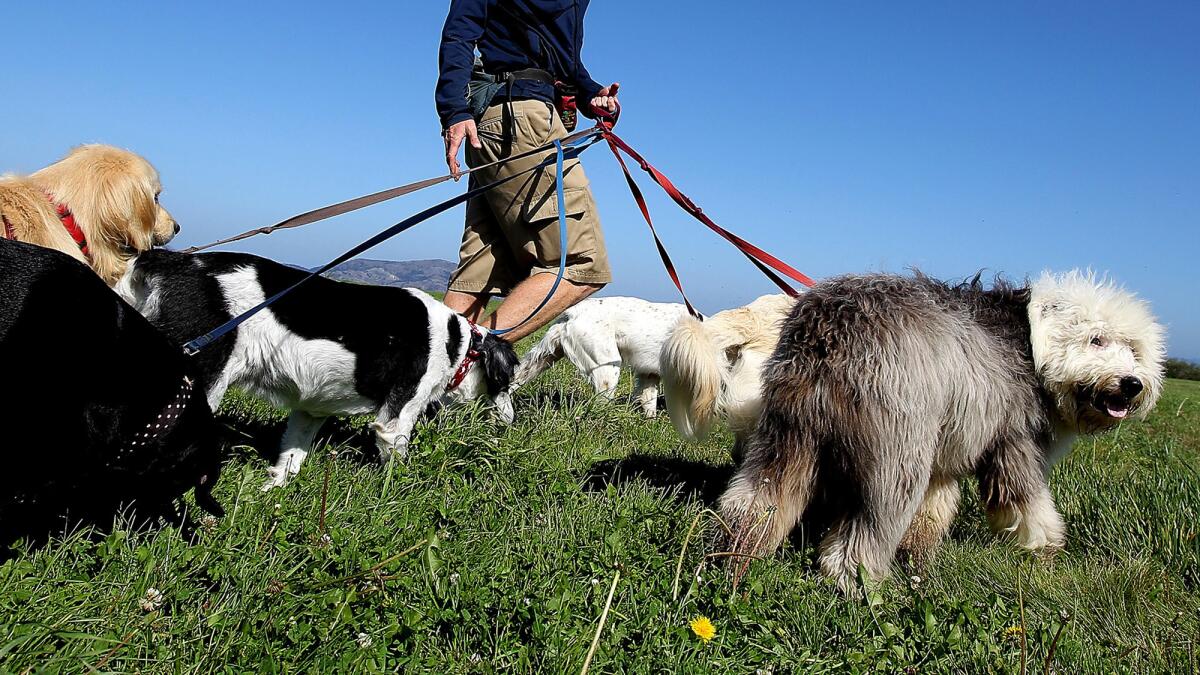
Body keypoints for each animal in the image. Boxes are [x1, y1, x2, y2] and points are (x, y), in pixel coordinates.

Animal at [115, 249, 520, 485]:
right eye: (509, 382)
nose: (512, 420)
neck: (459, 343)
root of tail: (169, 260)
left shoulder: (310, 411)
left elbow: (290, 460)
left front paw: (275, 492)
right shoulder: (397, 416)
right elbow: (396, 462)